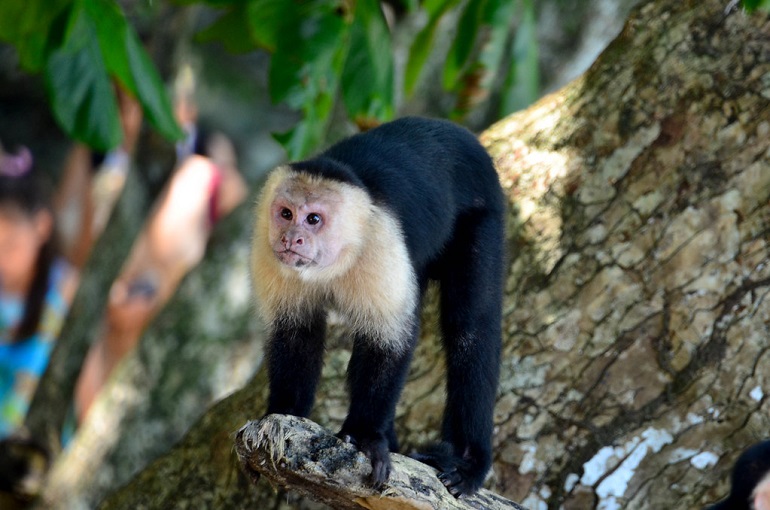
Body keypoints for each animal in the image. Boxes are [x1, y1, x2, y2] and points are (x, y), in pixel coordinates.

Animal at [252, 116, 504, 498]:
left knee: (471, 327)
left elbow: (389, 341)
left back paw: (467, 461)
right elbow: (295, 333)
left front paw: (366, 437)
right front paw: (285, 414)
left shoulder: (380, 242)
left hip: (483, 212)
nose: (291, 238)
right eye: (285, 213)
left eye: (313, 220)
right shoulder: (268, 254)